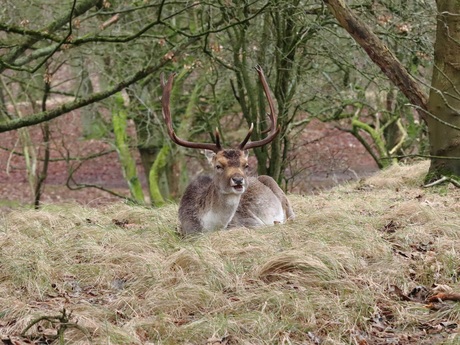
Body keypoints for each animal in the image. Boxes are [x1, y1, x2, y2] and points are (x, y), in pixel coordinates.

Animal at [162, 66, 294, 235]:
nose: (238, 180)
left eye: (246, 165)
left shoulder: (251, 222)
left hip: (277, 188)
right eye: (218, 165)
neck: (208, 226)